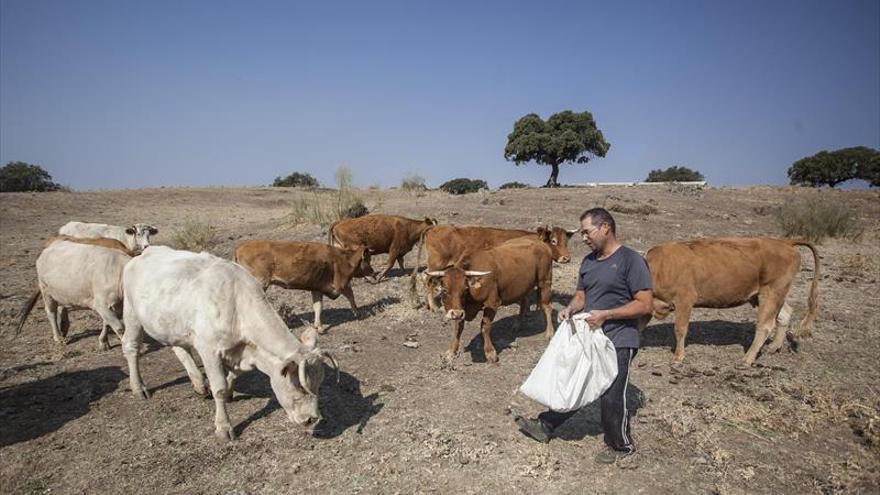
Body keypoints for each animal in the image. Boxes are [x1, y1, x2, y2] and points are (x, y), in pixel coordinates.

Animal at [120, 248, 334, 442]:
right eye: (299, 386)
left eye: (319, 383)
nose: (312, 419)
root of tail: (142, 254)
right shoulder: (208, 349)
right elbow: (219, 387)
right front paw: (224, 427)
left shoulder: (240, 351)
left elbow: (234, 374)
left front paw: (231, 391)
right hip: (131, 314)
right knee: (130, 347)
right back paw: (139, 387)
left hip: (172, 325)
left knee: (180, 349)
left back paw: (199, 384)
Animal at [232, 240, 372, 334]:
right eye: (368, 259)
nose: (373, 272)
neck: (342, 259)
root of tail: (239, 248)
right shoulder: (340, 285)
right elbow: (350, 295)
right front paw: (358, 313)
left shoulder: (317, 288)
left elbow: (318, 306)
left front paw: (319, 327)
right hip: (259, 283)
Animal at [410, 225, 576, 310]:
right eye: (553, 241)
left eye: (566, 242)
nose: (566, 258)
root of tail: (434, 227)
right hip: (437, 263)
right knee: (429, 281)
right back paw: (433, 307)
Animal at [422, 236, 552, 364]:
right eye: (444, 290)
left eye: (465, 289)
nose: (457, 313)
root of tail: (540, 243)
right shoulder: (460, 309)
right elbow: (458, 327)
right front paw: (451, 351)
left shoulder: (492, 303)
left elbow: (485, 326)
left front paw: (490, 352)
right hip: (524, 286)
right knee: (524, 302)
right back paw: (518, 325)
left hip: (545, 281)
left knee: (547, 307)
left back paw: (549, 333)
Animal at [644, 238, 820, 366]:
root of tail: (784, 242)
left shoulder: (684, 300)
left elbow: (680, 330)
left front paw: (678, 357)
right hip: (770, 294)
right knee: (785, 314)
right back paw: (773, 347)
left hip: (771, 293)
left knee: (765, 326)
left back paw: (747, 359)